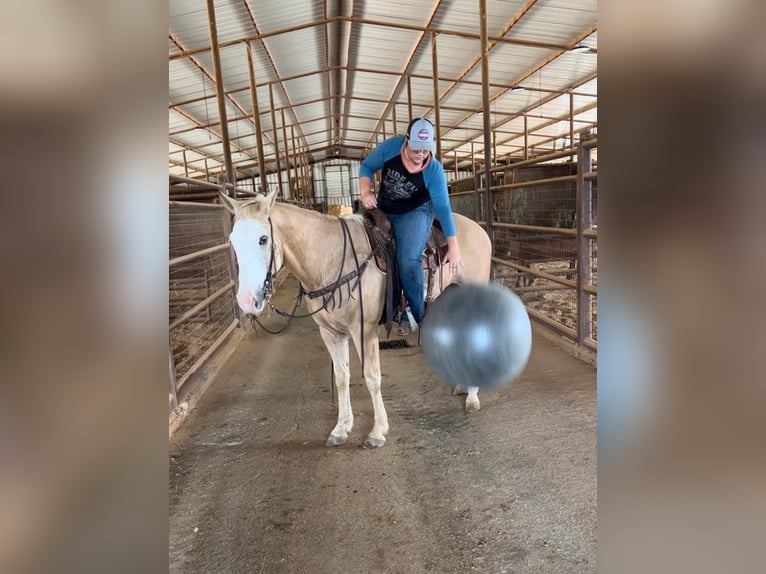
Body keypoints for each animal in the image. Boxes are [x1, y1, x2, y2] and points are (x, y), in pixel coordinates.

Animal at [220, 191, 492, 452]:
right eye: (232, 240)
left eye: (263, 239)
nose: (246, 300)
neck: (331, 259)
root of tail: (479, 230)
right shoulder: (329, 332)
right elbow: (342, 377)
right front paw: (341, 428)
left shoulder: (364, 329)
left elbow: (371, 377)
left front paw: (377, 432)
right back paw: (462, 385)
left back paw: (472, 397)